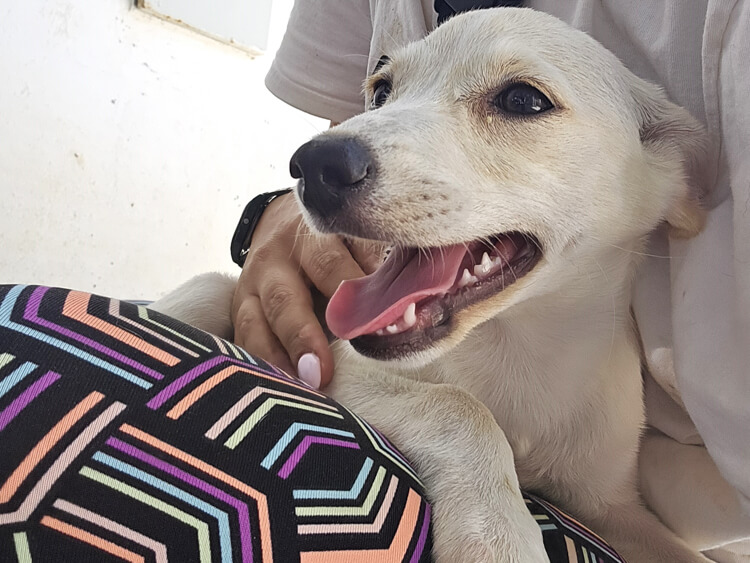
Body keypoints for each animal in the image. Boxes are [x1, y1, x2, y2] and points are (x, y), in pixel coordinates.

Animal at [154, 8, 712, 563]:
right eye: (381, 90)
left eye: (523, 100)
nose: (313, 165)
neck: (519, 345)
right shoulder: (340, 370)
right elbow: (460, 405)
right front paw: (497, 535)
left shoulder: (611, 507)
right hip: (210, 290)